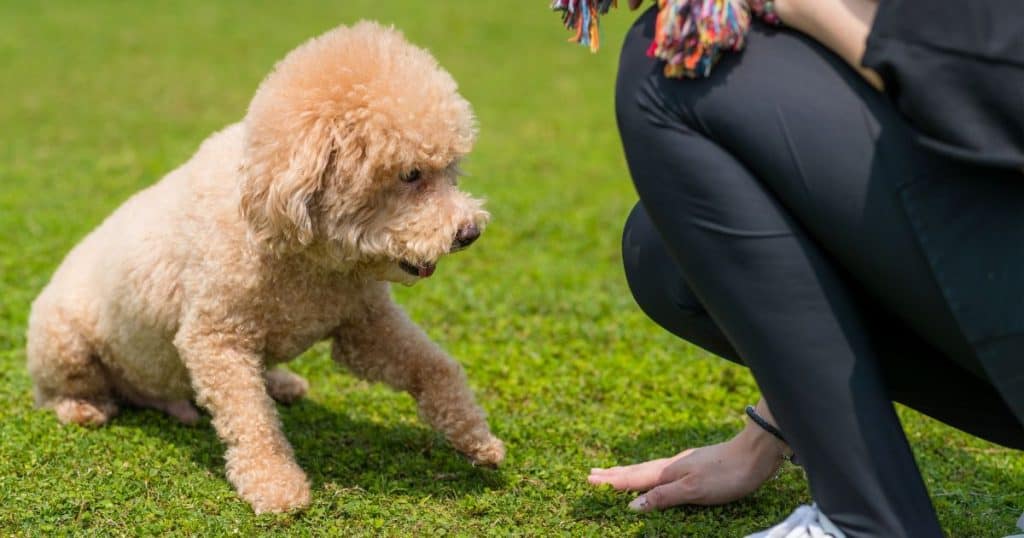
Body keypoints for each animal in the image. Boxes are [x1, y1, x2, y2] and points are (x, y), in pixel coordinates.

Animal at [29, 22, 509, 512]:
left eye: (450, 169)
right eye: (410, 175)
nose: (470, 232)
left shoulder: (364, 323)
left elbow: (435, 366)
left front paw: (476, 438)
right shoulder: (215, 337)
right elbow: (251, 417)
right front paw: (275, 484)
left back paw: (277, 381)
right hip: (62, 343)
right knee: (56, 392)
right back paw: (82, 407)